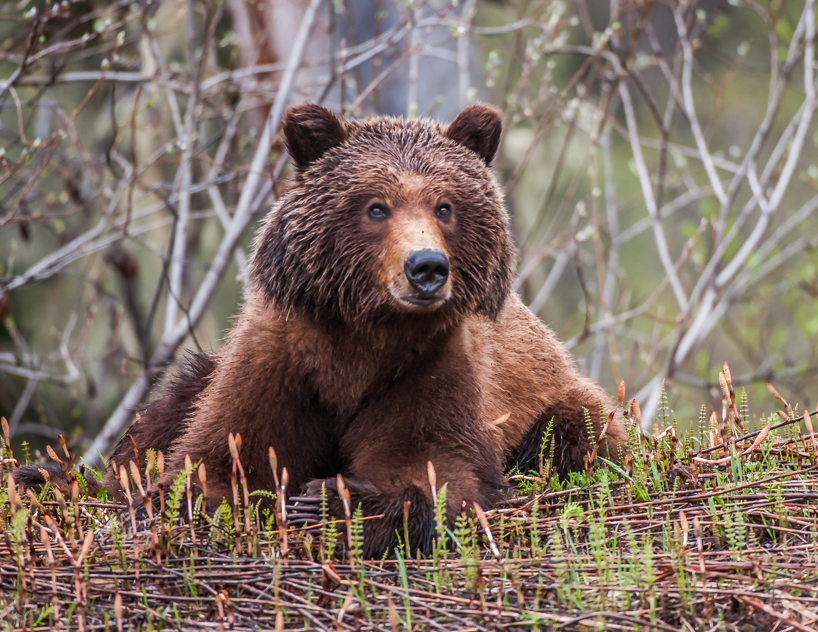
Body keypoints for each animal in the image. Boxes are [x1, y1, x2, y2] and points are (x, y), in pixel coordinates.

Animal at [14, 102, 626, 557]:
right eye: (376, 206)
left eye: (445, 205)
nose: (427, 268)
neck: (363, 336)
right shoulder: (283, 358)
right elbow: (213, 461)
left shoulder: (432, 369)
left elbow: (435, 467)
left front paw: (331, 500)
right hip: (205, 373)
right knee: (162, 414)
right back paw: (45, 476)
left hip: (559, 401)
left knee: (581, 432)